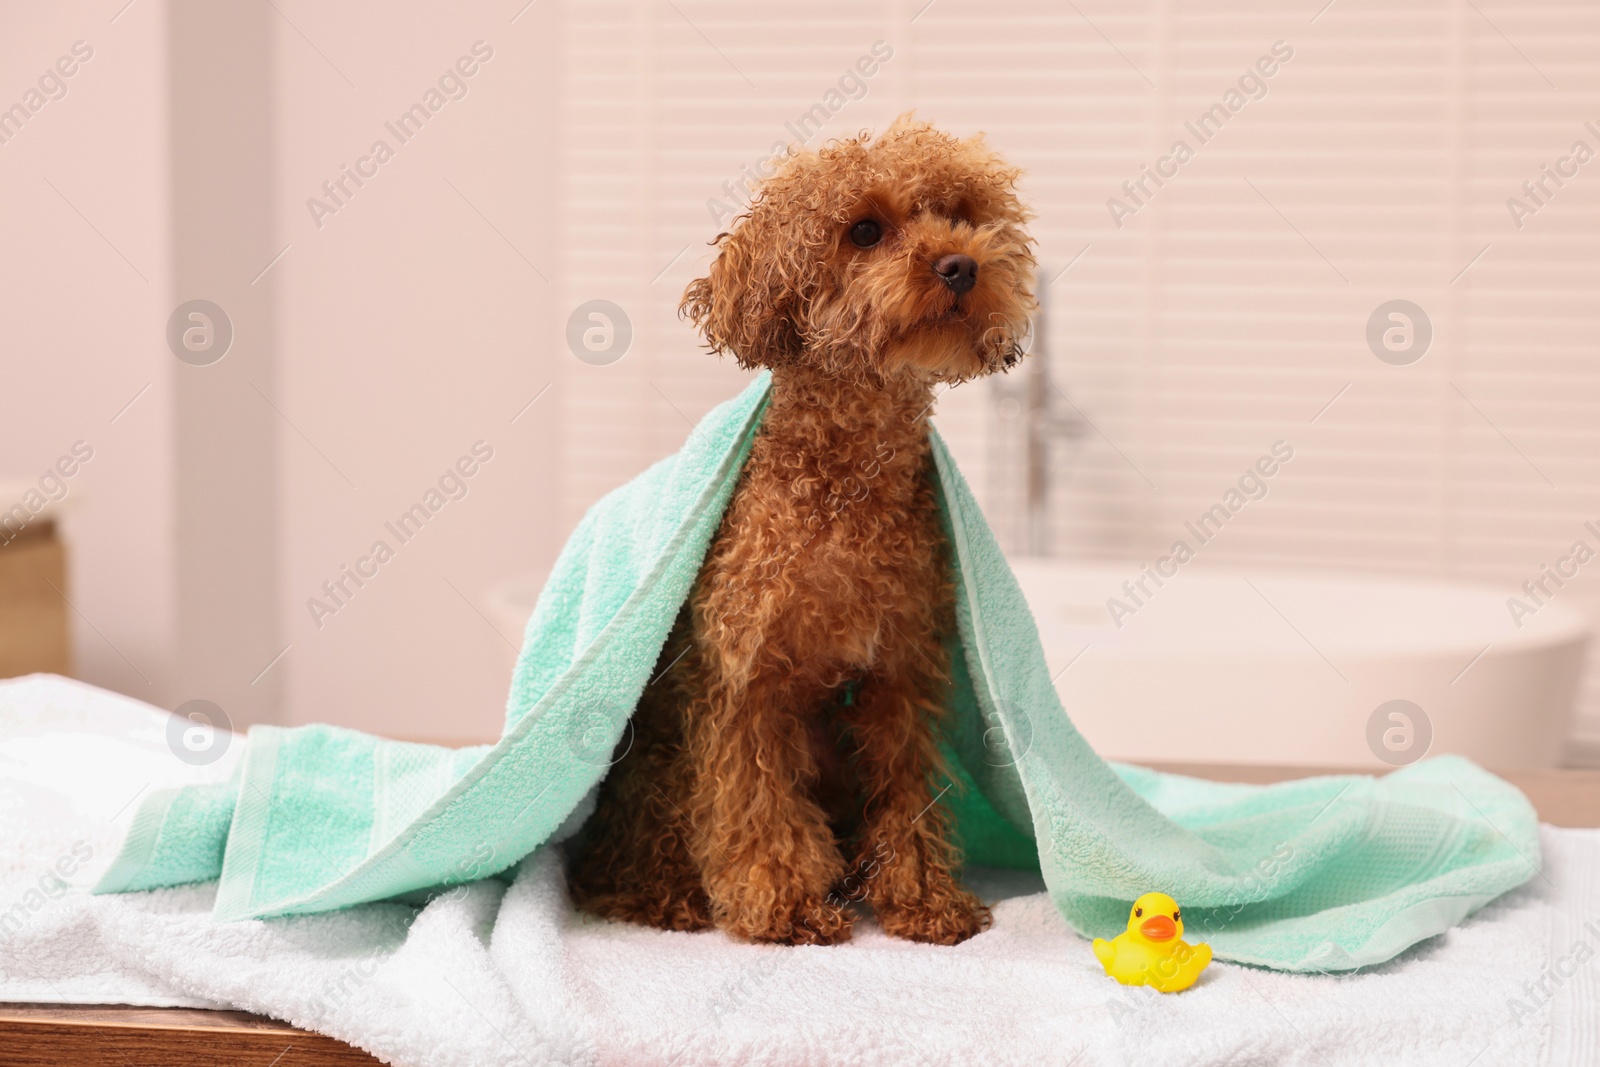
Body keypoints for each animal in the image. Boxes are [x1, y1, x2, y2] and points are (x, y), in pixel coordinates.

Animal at [569, 116, 1030, 947]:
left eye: (962, 214)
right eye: (865, 230)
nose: (961, 265)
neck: (845, 496)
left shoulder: (898, 677)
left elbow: (906, 792)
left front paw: (924, 898)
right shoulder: (746, 680)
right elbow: (757, 804)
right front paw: (782, 903)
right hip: (656, 763)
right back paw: (667, 896)